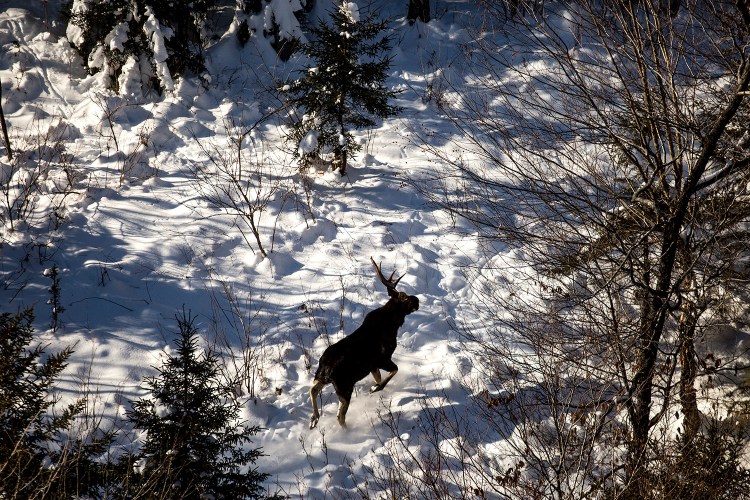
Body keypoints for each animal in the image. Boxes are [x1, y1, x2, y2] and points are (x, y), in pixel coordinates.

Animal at [308, 258, 420, 430]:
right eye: (405, 297)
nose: (418, 300)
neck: (394, 323)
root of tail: (326, 369)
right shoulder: (382, 358)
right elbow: (393, 371)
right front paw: (374, 389)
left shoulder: (372, 366)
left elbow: (379, 377)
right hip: (345, 386)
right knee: (340, 415)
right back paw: (346, 431)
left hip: (321, 377)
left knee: (313, 389)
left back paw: (314, 418)